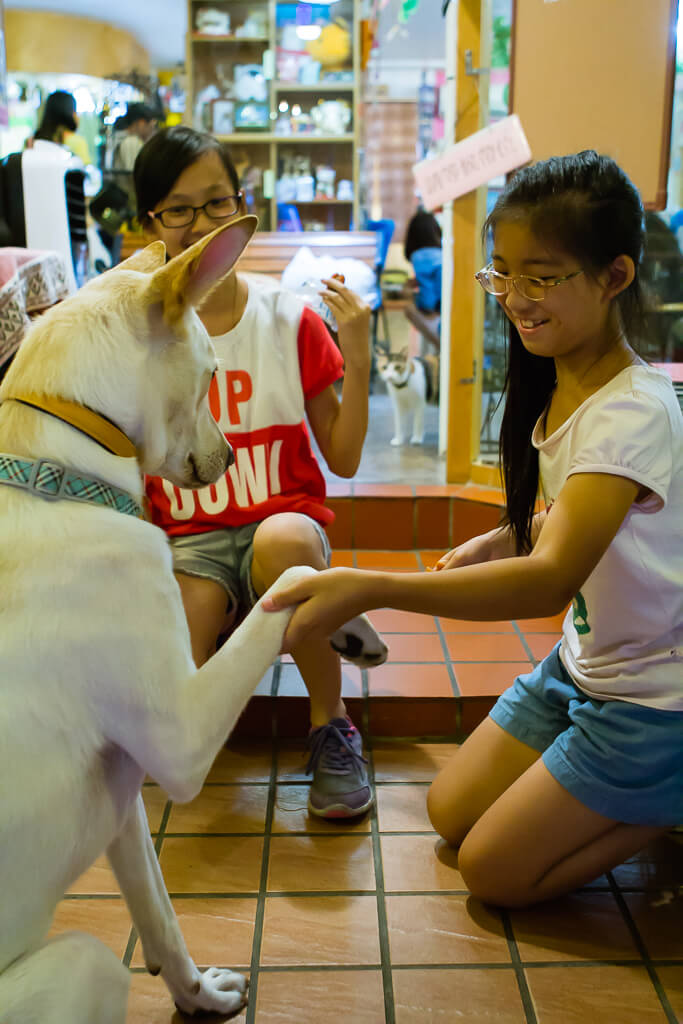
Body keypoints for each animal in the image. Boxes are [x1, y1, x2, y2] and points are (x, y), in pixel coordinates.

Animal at [0, 220, 385, 1019]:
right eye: (210, 377)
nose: (228, 459)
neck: (55, 476)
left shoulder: (121, 801)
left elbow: (162, 917)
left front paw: (200, 994)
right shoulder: (178, 736)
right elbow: (296, 579)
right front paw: (346, 612)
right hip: (84, 964)